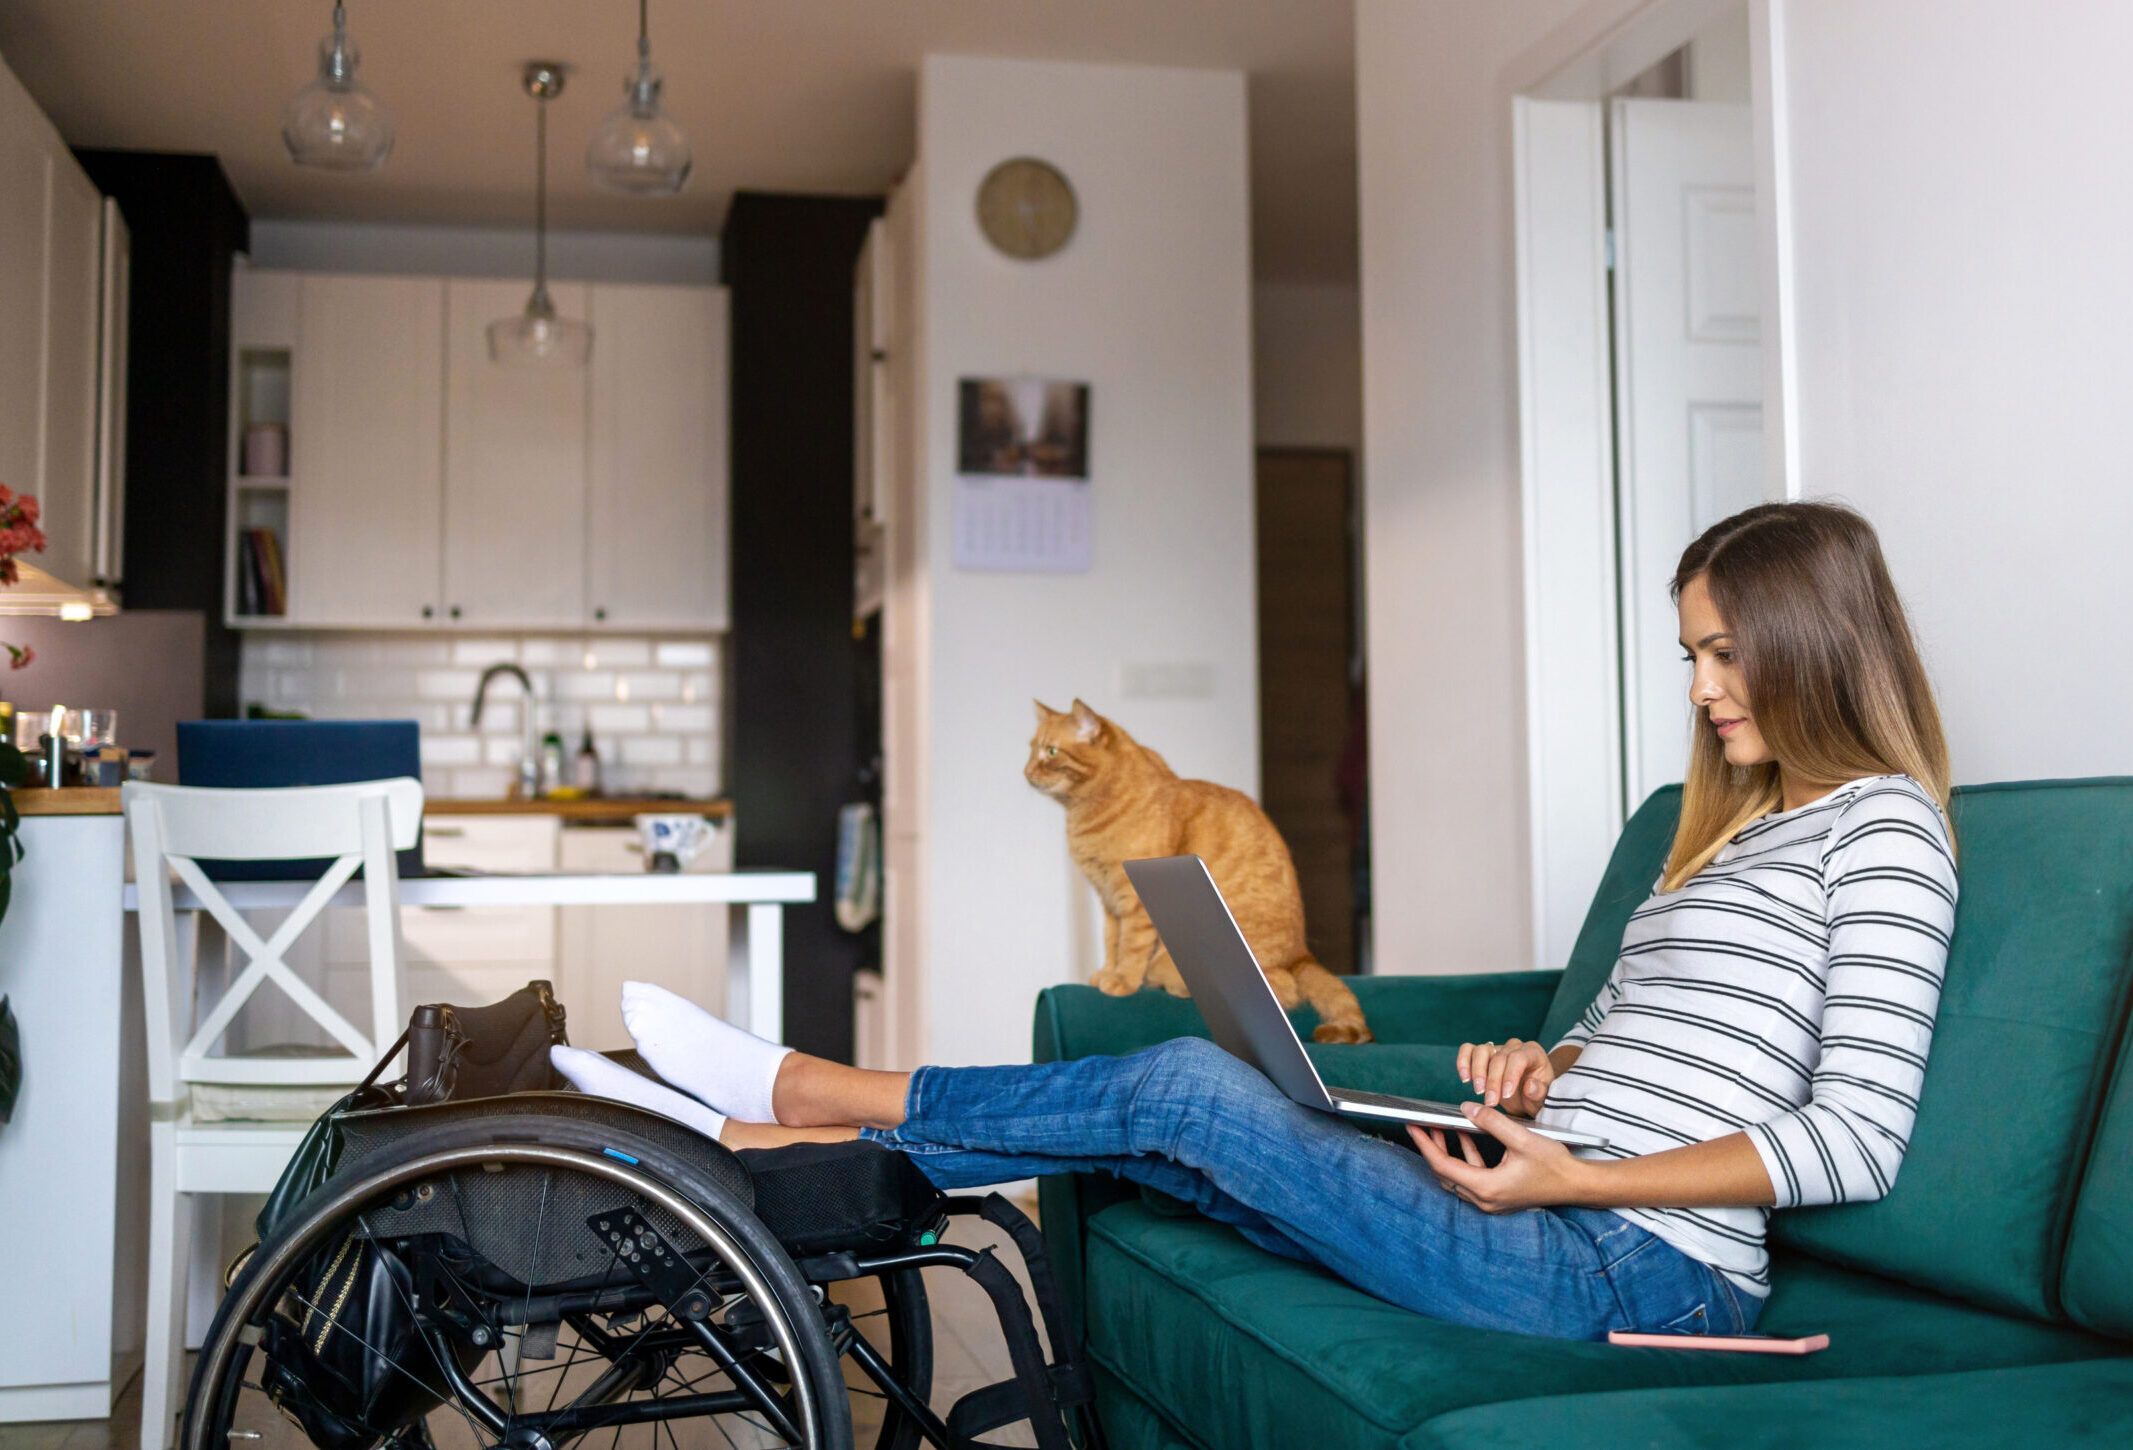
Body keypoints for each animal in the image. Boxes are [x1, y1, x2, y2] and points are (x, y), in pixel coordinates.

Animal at [1023, 699, 1373, 1040]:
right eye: (1031, 749)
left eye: (1050, 751)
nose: (1025, 771)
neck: (1084, 812)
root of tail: (1301, 954)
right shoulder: (1108, 898)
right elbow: (1112, 942)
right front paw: (1108, 973)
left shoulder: (1130, 899)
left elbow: (1130, 946)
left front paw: (1122, 980)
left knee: (1282, 991)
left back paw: (1173, 983)